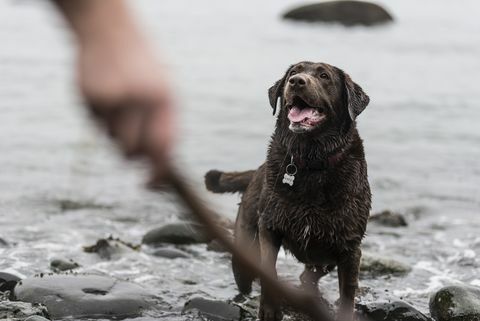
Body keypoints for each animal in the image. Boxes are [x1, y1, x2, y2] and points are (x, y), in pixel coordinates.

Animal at [204, 60, 370, 320]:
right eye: (293, 72)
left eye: (324, 76)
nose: (297, 81)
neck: (312, 161)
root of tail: (256, 172)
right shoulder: (270, 228)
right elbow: (268, 270)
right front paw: (270, 310)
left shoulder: (350, 247)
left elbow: (347, 293)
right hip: (244, 249)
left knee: (309, 274)